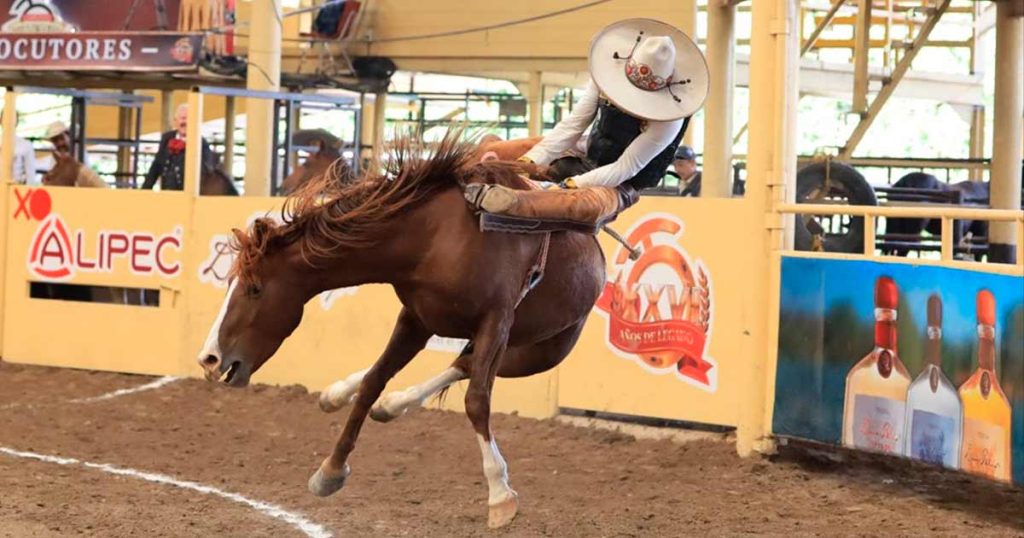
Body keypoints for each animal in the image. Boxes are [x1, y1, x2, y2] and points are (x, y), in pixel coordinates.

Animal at [195, 128, 602, 524]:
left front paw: (500, 494)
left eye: (255, 288)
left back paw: (392, 404)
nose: (210, 359)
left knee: (466, 366)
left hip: (536, 351)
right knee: (455, 364)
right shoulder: (415, 319)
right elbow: (374, 381)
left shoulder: (496, 322)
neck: (436, 239)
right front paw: (331, 469)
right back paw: (356, 397)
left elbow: (476, 401)